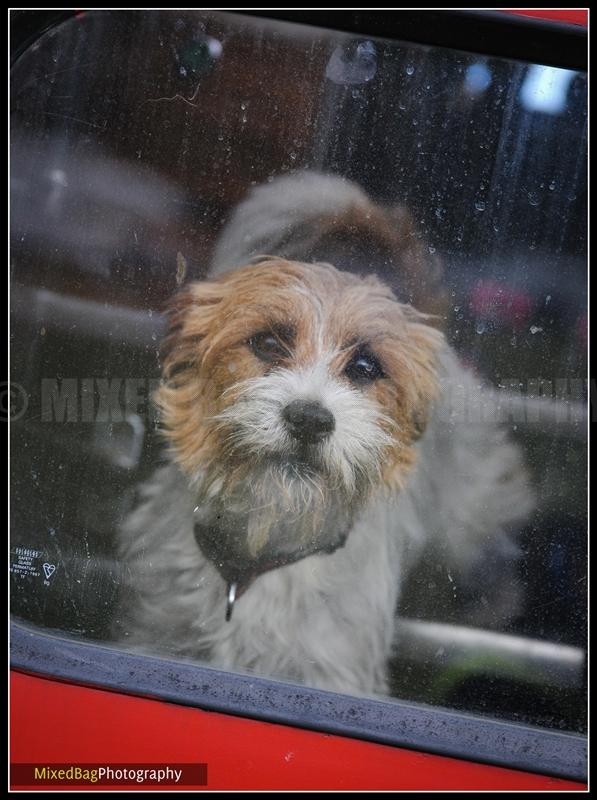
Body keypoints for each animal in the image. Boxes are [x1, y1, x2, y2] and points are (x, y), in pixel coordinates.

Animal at [115, 173, 532, 692]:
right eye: (267, 343)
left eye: (365, 367)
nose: (310, 419)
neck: (259, 557)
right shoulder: (155, 638)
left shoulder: (332, 674)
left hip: (467, 519)